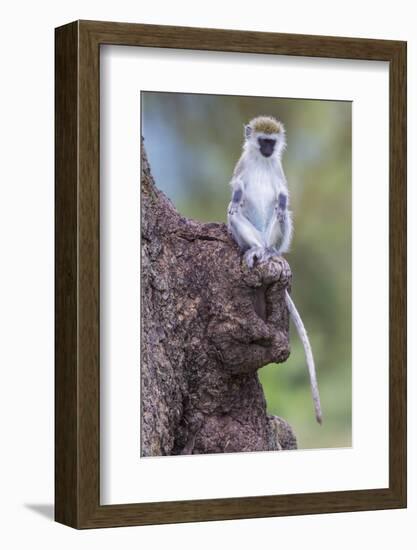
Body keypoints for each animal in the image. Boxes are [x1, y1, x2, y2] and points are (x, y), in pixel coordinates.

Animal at [228, 115, 322, 426]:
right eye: (262, 141)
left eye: (271, 142)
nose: (269, 150)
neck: (261, 160)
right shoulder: (242, 163)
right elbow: (237, 188)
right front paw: (237, 194)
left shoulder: (278, 170)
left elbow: (282, 193)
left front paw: (281, 200)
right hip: (248, 233)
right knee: (234, 212)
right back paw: (255, 250)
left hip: (276, 236)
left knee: (282, 215)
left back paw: (271, 252)